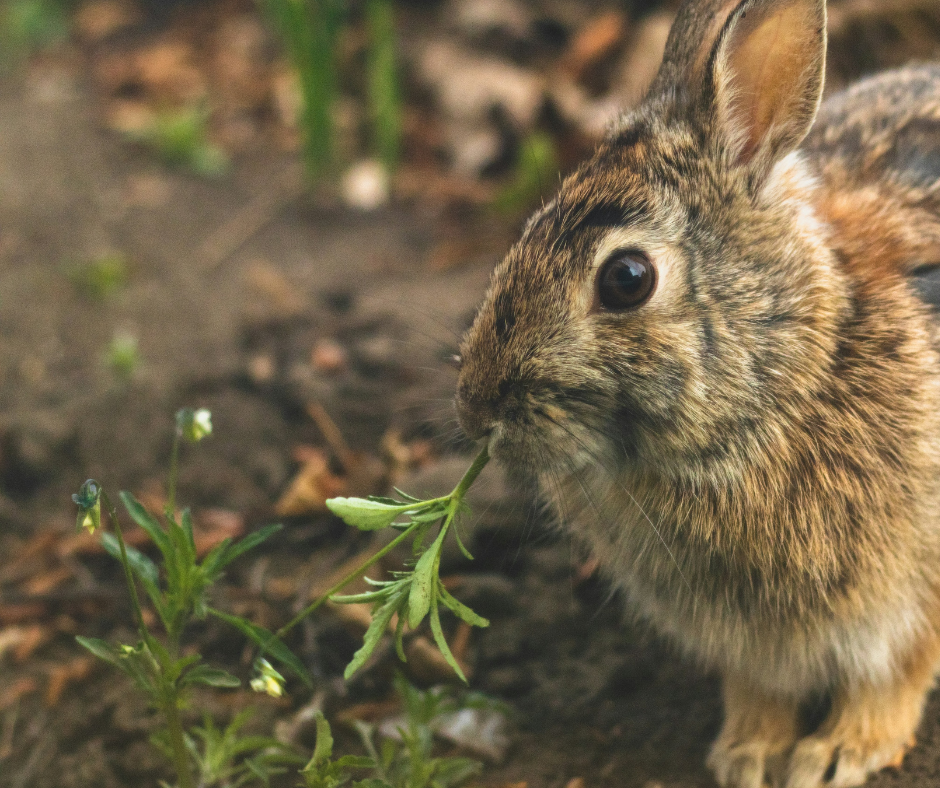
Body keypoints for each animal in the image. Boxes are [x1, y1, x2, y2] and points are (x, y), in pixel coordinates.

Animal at [454, 0, 940, 786]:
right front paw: (747, 754)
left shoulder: (913, 597)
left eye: (626, 279)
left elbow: (894, 676)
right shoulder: (754, 645)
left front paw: (838, 754)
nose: (476, 412)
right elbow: (760, 690)